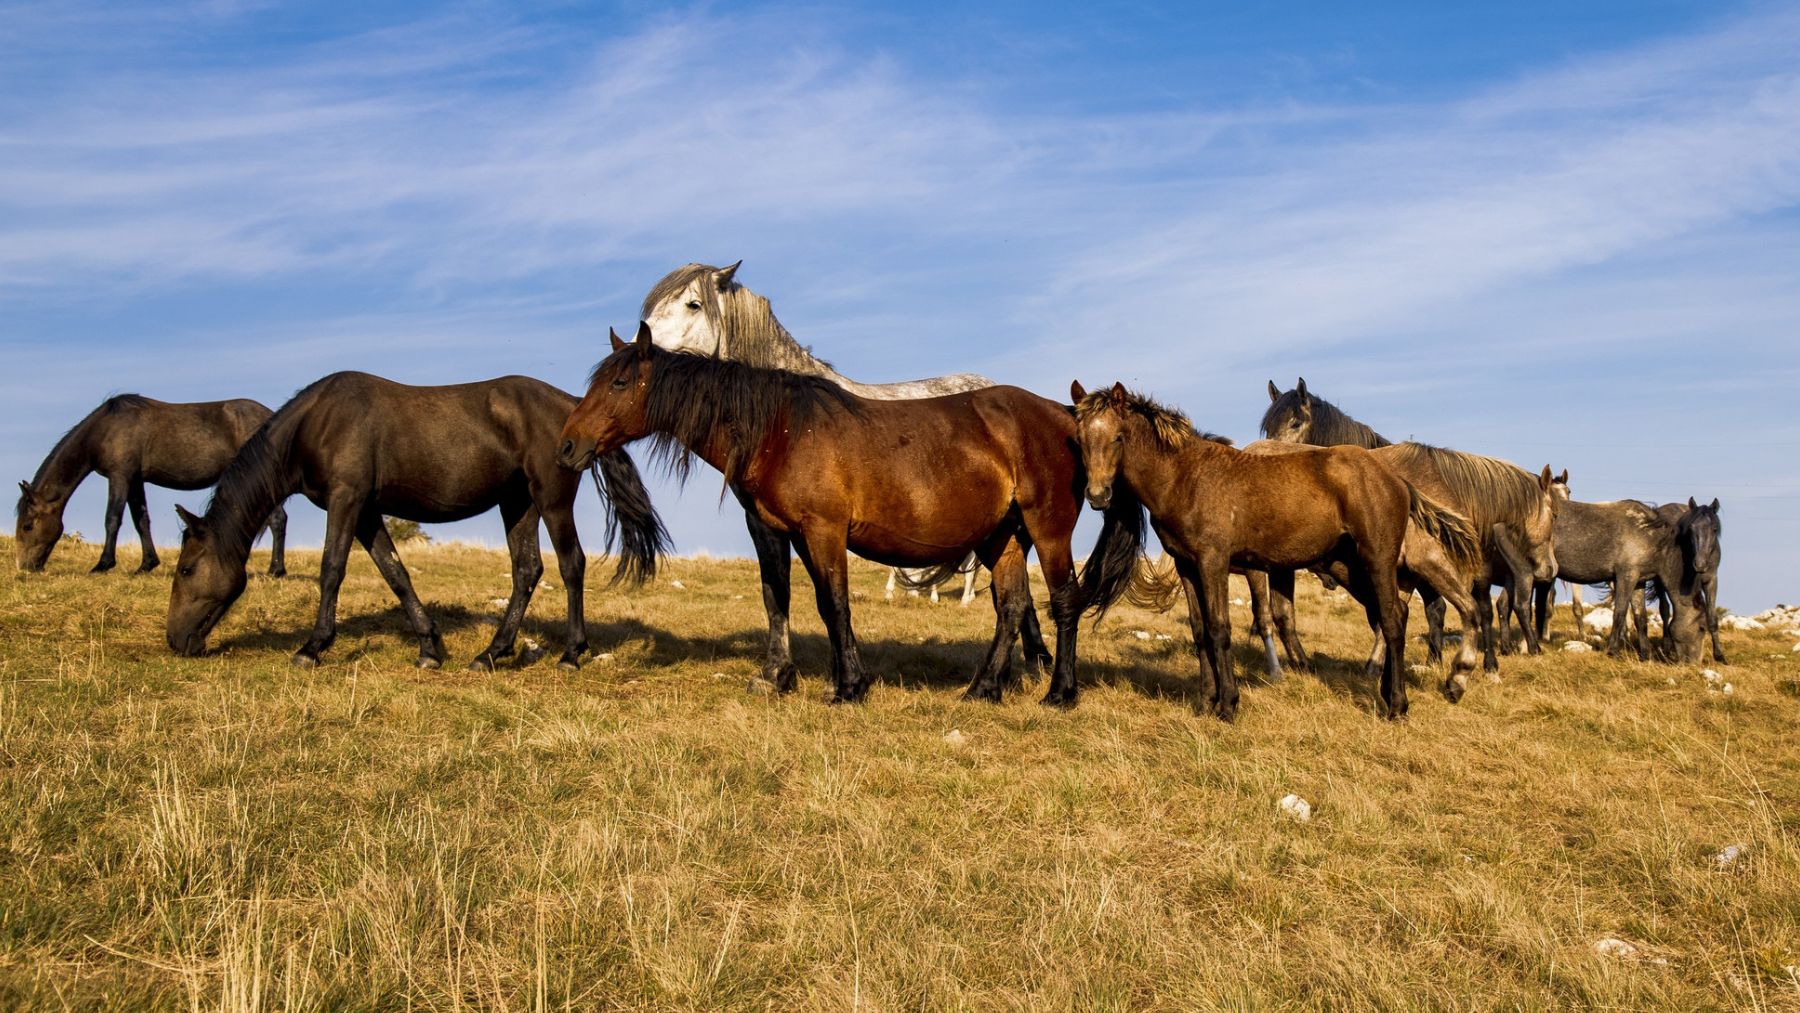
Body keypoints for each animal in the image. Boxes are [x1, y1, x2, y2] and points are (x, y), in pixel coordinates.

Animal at [16, 395, 287, 575]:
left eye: (28, 525)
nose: (25, 567)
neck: (106, 429)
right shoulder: (135, 480)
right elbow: (141, 521)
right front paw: (146, 564)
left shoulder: (120, 476)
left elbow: (112, 518)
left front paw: (103, 564)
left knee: (277, 519)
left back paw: (276, 570)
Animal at [166, 373, 666, 671]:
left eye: (186, 569)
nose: (174, 641)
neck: (318, 423)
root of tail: (573, 408)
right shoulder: (365, 510)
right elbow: (396, 574)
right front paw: (429, 648)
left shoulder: (346, 501)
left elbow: (332, 570)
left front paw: (312, 647)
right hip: (517, 503)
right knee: (527, 571)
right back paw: (491, 654)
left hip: (551, 499)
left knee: (570, 565)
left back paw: (571, 653)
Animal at [558, 324, 1146, 706]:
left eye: (618, 384)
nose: (567, 446)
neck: (781, 430)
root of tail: (1066, 418)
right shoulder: (776, 531)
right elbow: (778, 598)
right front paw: (777, 677)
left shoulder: (823, 531)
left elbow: (833, 604)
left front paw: (849, 687)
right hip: (1001, 537)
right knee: (1012, 605)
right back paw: (982, 689)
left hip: (1047, 529)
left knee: (1063, 601)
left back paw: (1060, 692)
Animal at [1074, 382, 1480, 720]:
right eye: (1079, 438)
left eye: (1119, 437)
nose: (1098, 496)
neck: (1185, 476)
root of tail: (1397, 479)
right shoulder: (1187, 565)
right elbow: (1200, 630)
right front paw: (1205, 702)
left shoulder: (1214, 561)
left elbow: (1220, 629)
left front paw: (1228, 705)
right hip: (1351, 566)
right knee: (1392, 615)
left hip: (1377, 558)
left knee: (1394, 621)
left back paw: (1399, 704)